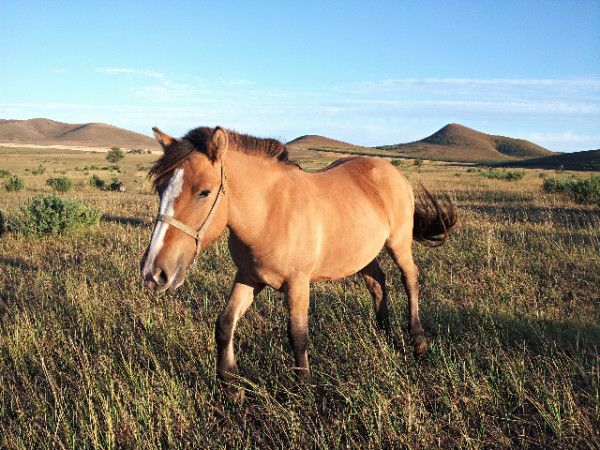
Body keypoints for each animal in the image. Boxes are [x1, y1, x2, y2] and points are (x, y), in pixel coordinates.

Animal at [141, 125, 458, 392]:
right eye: (160, 189)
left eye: (204, 192)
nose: (154, 273)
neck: (268, 213)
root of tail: (391, 171)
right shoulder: (248, 277)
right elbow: (225, 324)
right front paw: (231, 385)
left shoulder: (298, 284)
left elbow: (297, 336)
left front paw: (304, 391)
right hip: (363, 253)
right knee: (378, 284)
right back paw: (385, 335)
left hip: (399, 244)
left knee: (410, 279)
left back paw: (418, 342)